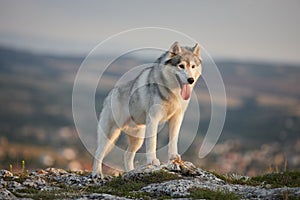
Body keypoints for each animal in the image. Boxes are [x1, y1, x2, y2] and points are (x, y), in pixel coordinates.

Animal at [92, 41, 203, 177]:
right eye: (181, 66)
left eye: (193, 66)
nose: (191, 80)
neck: (172, 91)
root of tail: (111, 93)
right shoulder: (154, 119)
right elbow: (152, 143)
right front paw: (153, 161)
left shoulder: (177, 118)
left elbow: (173, 140)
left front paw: (173, 157)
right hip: (110, 135)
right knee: (98, 153)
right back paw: (97, 173)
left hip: (137, 139)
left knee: (127, 155)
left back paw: (131, 172)